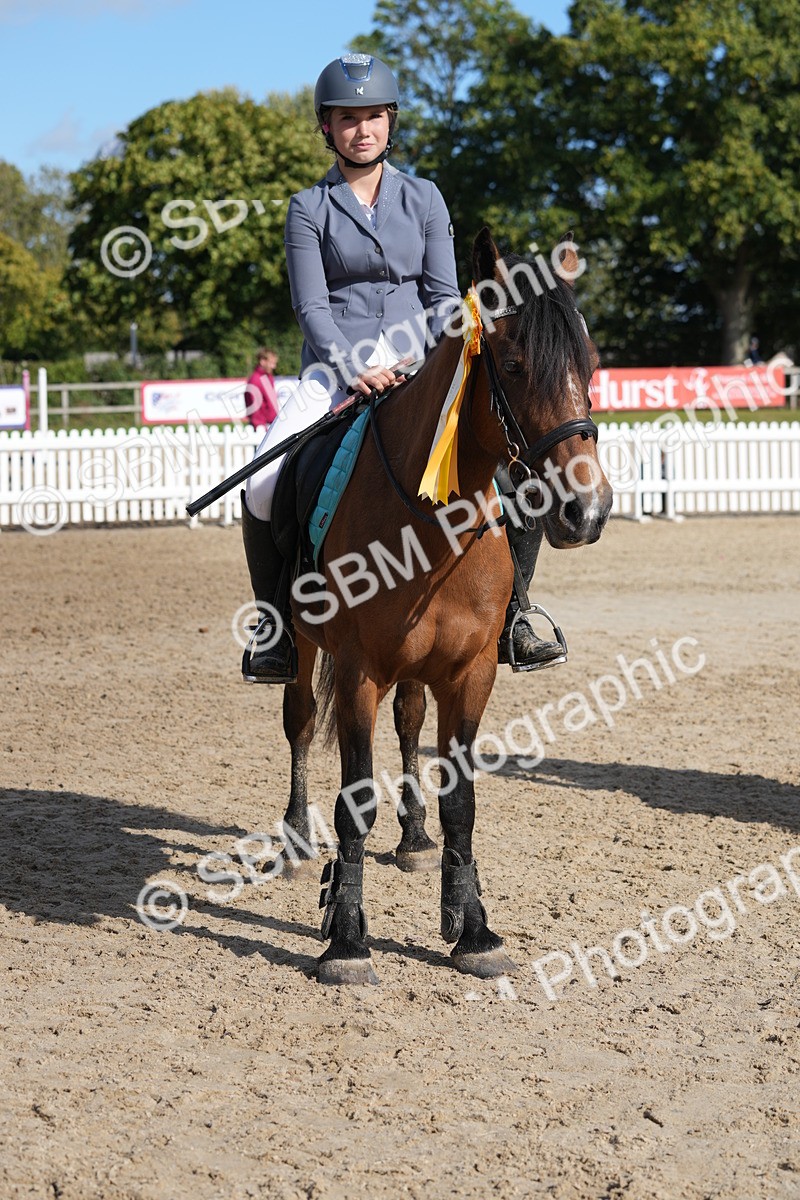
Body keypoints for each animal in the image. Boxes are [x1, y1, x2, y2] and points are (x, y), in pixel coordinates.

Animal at [268, 227, 612, 985]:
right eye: (512, 365)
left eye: (592, 364)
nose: (587, 510)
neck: (430, 526)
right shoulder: (359, 672)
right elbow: (354, 802)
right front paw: (345, 941)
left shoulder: (471, 672)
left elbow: (463, 800)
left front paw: (472, 928)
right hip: (305, 653)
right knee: (300, 724)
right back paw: (296, 842)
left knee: (409, 722)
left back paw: (416, 838)